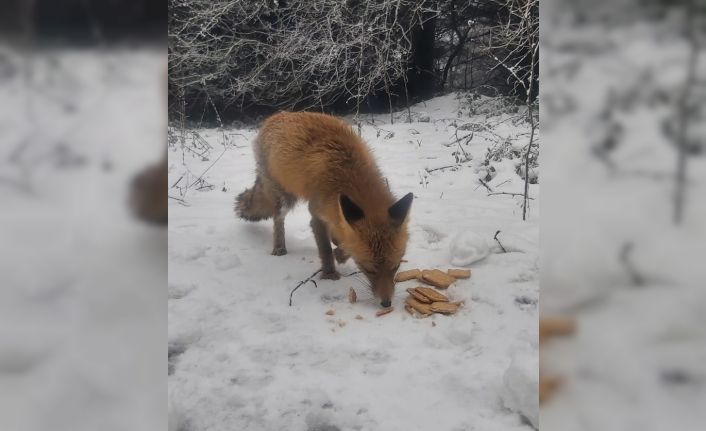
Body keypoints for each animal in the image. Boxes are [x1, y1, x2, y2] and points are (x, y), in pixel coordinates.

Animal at [236, 111, 412, 308]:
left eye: (396, 266)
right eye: (369, 269)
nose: (386, 303)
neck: (346, 173)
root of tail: (275, 116)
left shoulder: (338, 213)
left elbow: (343, 240)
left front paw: (340, 252)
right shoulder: (317, 213)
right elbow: (326, 249)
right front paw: (329, 273)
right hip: (285, 199)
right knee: (277, 220)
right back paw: (279, 247)